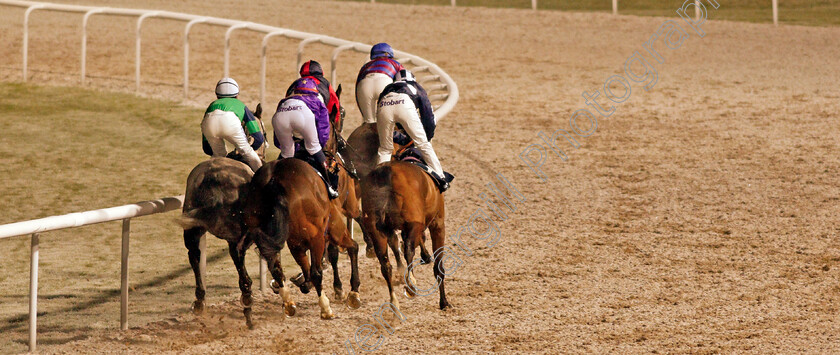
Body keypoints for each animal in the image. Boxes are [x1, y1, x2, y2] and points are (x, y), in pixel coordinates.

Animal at [184, 158, 260, 328]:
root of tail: (212, 179)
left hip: (192, 228)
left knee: (194, 256)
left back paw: (199, 301)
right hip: (236, 236)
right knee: (242, 270)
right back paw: (248, 306)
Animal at [362, 160, 452, 312]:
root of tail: (386, 173)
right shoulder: (437, 223)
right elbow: (438, 266)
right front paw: (444, 302)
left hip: (377, 232)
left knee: (385, 265)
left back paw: (394, 301)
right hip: (414, 223)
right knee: (408, 250)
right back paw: (411, 285)